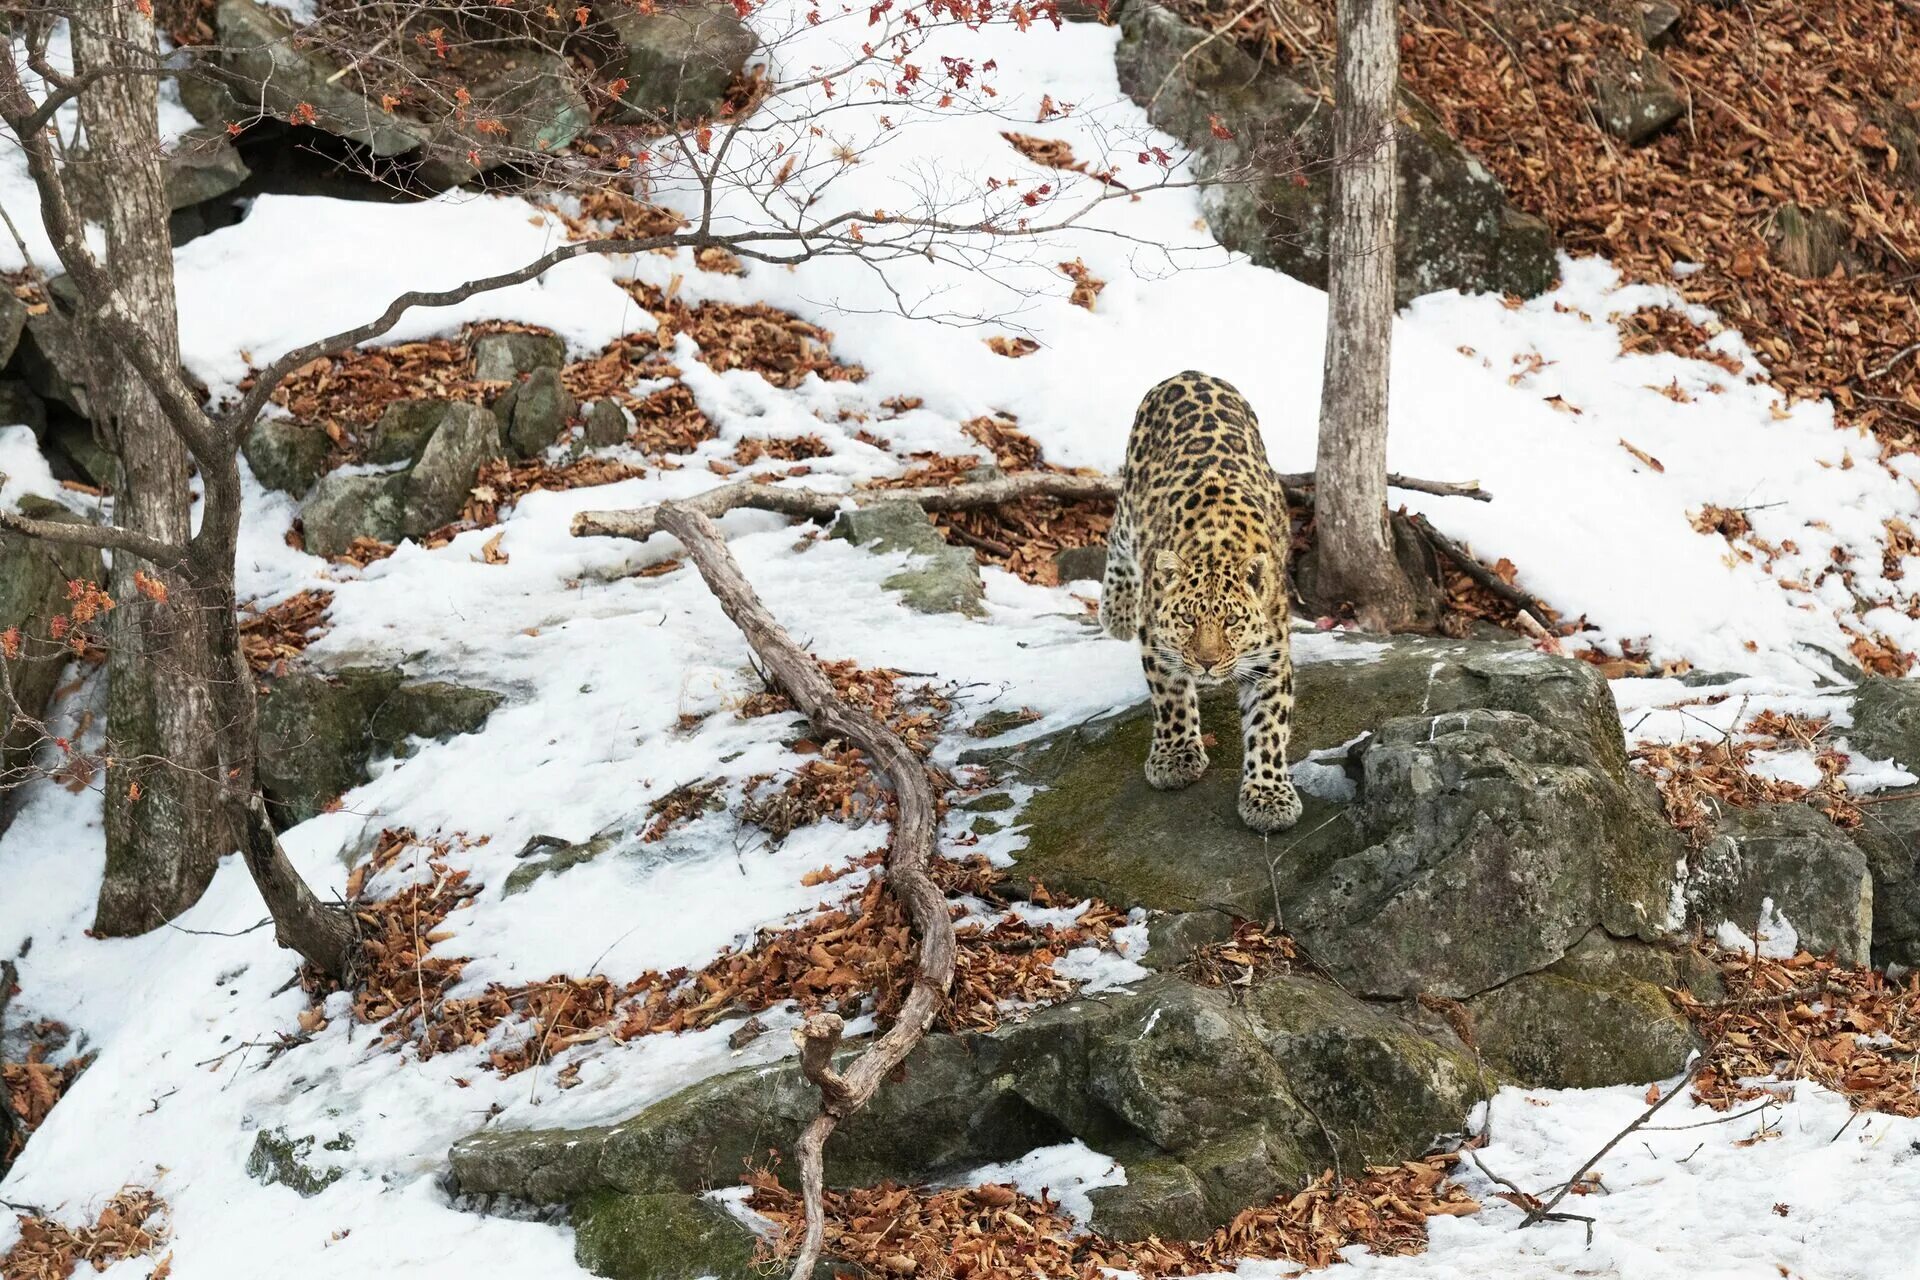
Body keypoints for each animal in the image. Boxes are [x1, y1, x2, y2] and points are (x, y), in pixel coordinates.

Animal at [1098, 368, 1305, 840]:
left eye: (1231, 621)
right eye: (1188, 618)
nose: (1208, 663)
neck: (1217, 544)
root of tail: (1190, 373)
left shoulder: (1273, 658)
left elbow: (1269, 729)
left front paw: (1268, 796)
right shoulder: (1157, 641)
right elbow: (1171, 697)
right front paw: (1175, 758)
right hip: (1131, 504)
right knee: (1115, 532)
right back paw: (1116, 609)